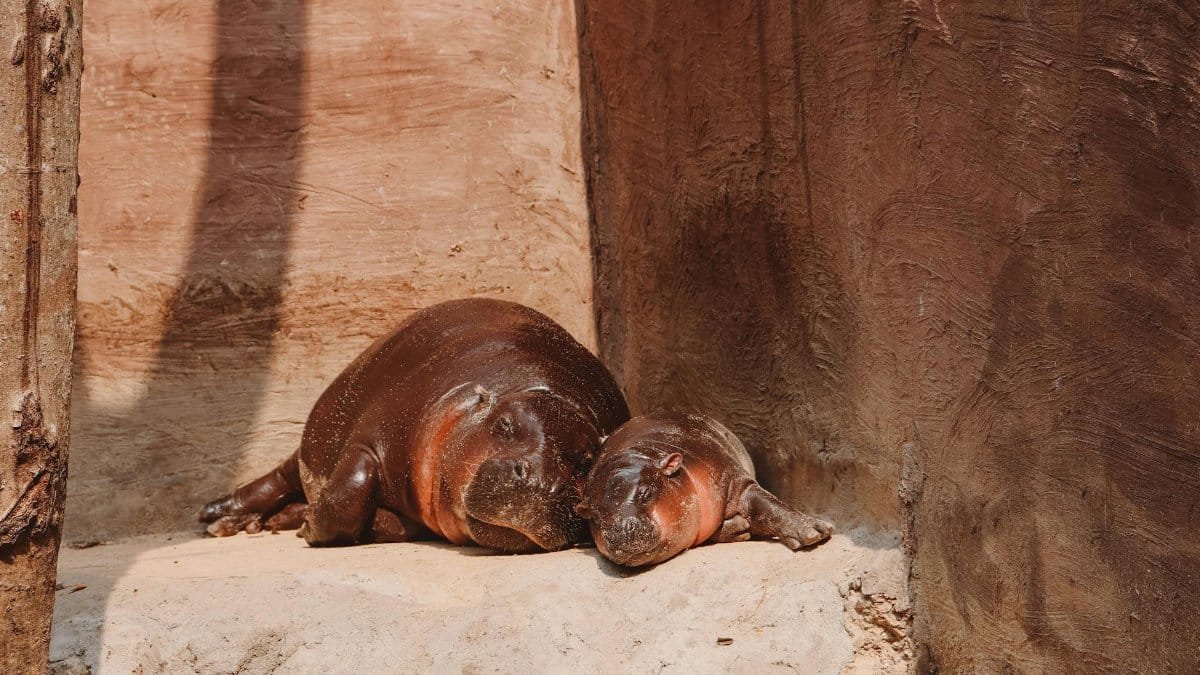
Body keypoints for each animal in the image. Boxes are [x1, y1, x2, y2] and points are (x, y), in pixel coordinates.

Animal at [199, 298, 629, 552]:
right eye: (505, 424)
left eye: (587, 460)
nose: (541, 482)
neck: (534, 386)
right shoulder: (373, 441)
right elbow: (347, 493)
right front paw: (308, 527)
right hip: (307, 446)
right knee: (276, 479)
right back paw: (218, 517)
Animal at [576, 411, 833, 567]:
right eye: (594, 517)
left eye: (647, 492)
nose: (618, 531)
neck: (640, 455)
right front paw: (741, 527)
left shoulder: (734, 480)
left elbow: (769, 506)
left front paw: (816, 532)